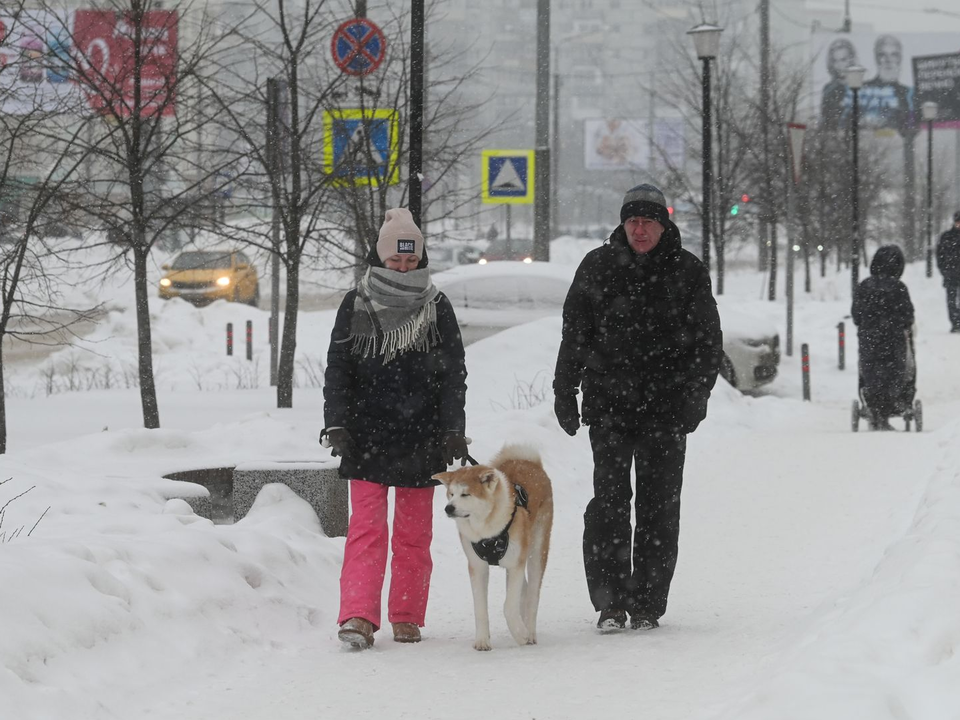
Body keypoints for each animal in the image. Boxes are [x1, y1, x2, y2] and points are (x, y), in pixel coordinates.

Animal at [436, 444, 556, 652]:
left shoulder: (515, 564)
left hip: (536, 549)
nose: (448, 508)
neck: (485, 529)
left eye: (465, 494)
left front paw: (521, 634)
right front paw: (482, 641)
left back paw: (529, 632)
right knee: (524, 591)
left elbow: (508, 607)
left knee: (532, 595)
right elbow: (480, 608)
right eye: (451, 494)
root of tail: (529, 462)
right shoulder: (477, 567)